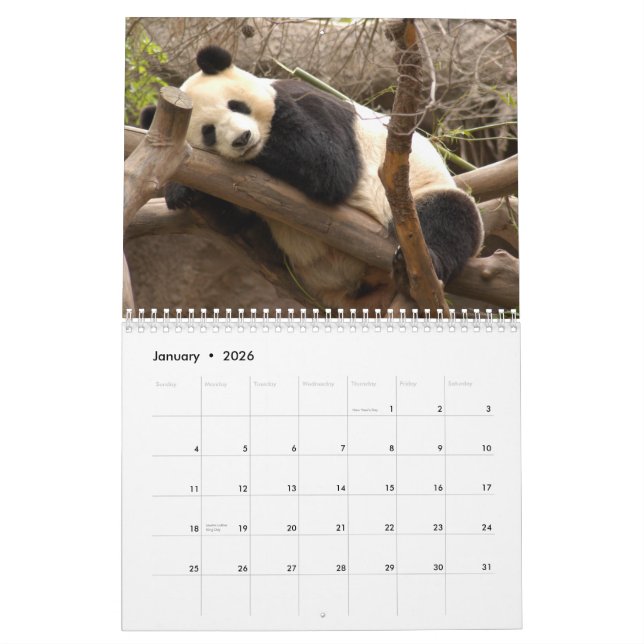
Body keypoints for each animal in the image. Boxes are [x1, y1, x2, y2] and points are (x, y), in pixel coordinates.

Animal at [140, 45, 483, 310]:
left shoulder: (307, 99)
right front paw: (181, 190)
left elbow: (329, 165)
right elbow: (230, 215)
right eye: (208, 132)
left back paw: (421, 267)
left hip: (423, 192)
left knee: (449, 215)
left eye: (236, 105)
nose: (242, 139)